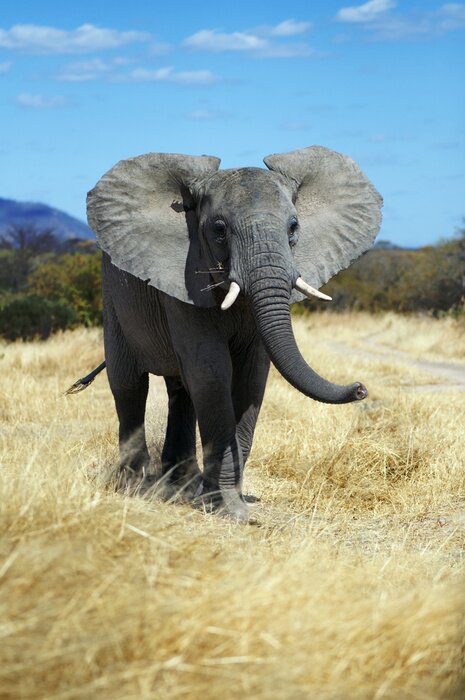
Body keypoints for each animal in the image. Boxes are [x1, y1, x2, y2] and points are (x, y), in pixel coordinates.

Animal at [85, 146, 382, 521]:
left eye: (294, 227)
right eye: (219, 230)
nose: (361, 388)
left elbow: (250, 377)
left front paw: (228, 500)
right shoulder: (183, 277)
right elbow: (212, 373)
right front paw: (230, 510)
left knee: (181, 389)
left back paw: (183, 485)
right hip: (113, 296)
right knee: (128, 384)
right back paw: (136, 486)